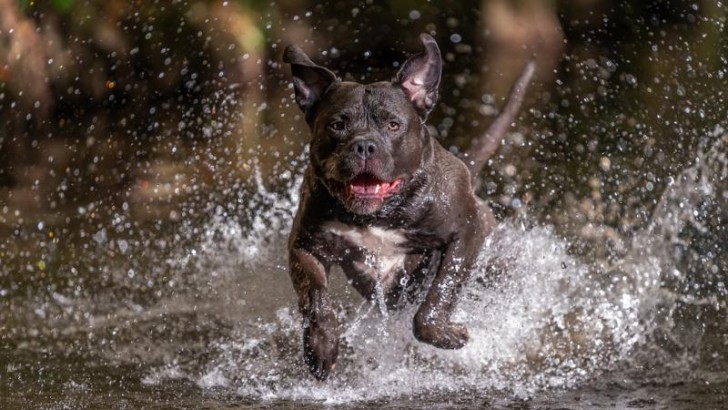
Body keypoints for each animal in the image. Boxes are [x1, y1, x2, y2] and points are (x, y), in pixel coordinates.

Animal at [282, 33, 532, 380]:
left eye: (393, 125)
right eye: (337, 124)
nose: (364, 145)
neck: (379, 215)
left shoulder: (468, 229)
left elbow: (440, 294)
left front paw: (448, 334)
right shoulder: (306, 246)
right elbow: (316, 297)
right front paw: (321, 347)